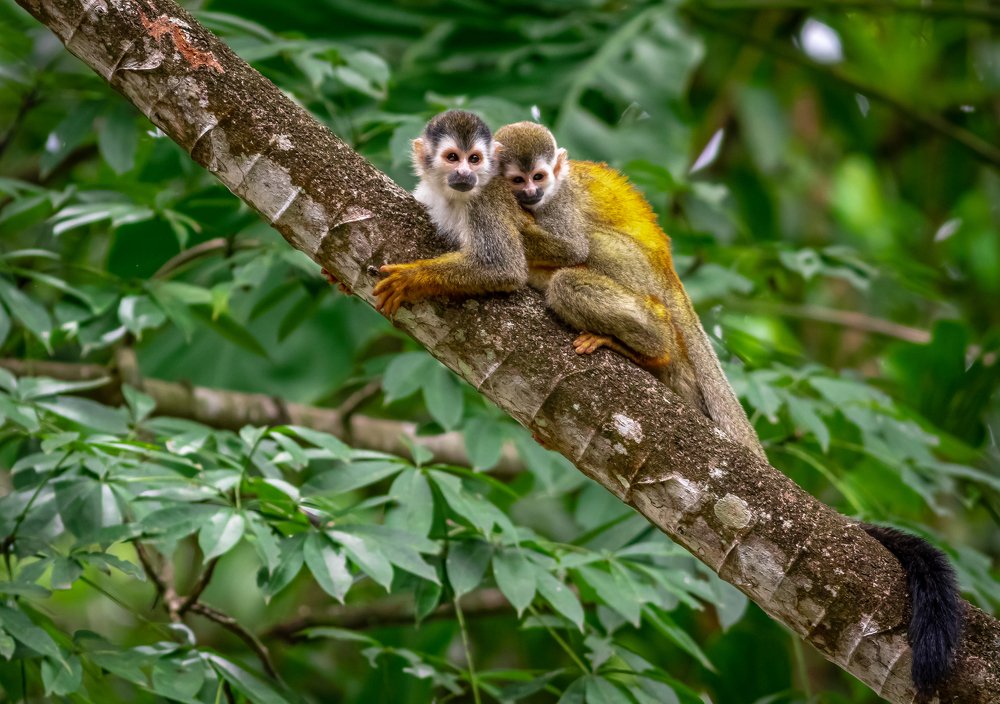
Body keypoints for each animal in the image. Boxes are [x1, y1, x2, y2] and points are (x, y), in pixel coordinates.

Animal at [372, 110, 587, 316]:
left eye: (474, 159)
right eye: (452, 157)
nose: (464, 173)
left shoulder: (485, 200)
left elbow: (503, 267)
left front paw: (412, 278)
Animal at [494, 121, 963, 699]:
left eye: (538, 178)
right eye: (517, 178)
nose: (528, 196)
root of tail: (671, 278)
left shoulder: (559, 205)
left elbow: (569, 241)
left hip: (640, 277)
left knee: (582, 261)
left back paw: (644, 345)